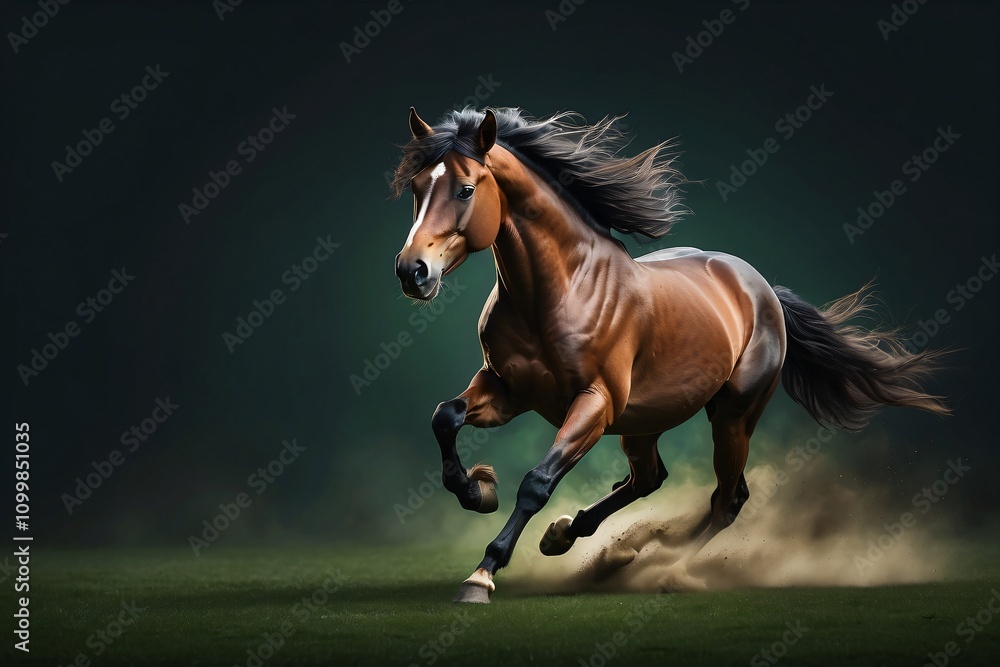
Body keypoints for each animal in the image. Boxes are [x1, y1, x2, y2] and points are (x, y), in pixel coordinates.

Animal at [391, 106, 948, 603]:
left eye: (466, 189)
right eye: (416, 188)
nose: (412, 271)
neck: (559, 292)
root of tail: (762, 288)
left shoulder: (595, 404)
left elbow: (536, 481)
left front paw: (482, 575)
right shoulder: (507, 389)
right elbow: (445, 416)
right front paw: (478, 490)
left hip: (732, 417)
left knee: (726, 500)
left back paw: (663, 567)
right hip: (644, 420)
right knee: (650, 478)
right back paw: (571, 536)